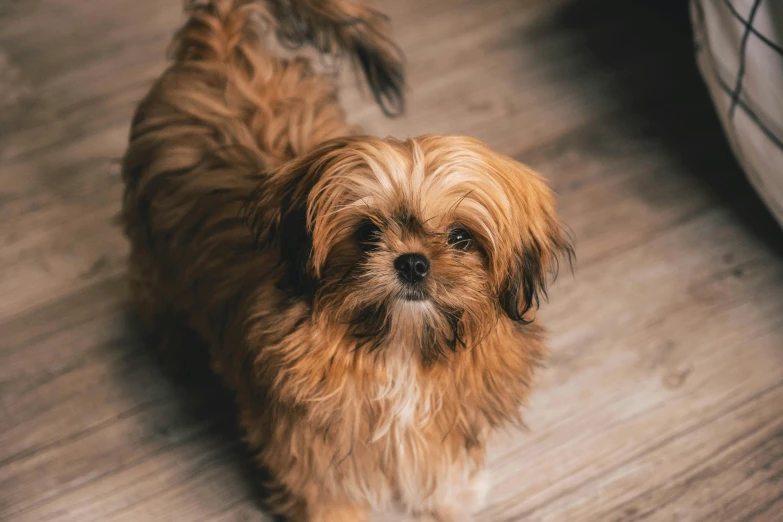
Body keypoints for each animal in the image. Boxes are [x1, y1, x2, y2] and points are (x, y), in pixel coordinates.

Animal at [122, 2, 576, 516]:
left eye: (461, 237)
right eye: (366, 233)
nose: (413, 262)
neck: (400, 354)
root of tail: (220, 48)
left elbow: (442, 471)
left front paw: (451, 501)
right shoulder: (313, 455)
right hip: (154, 253)